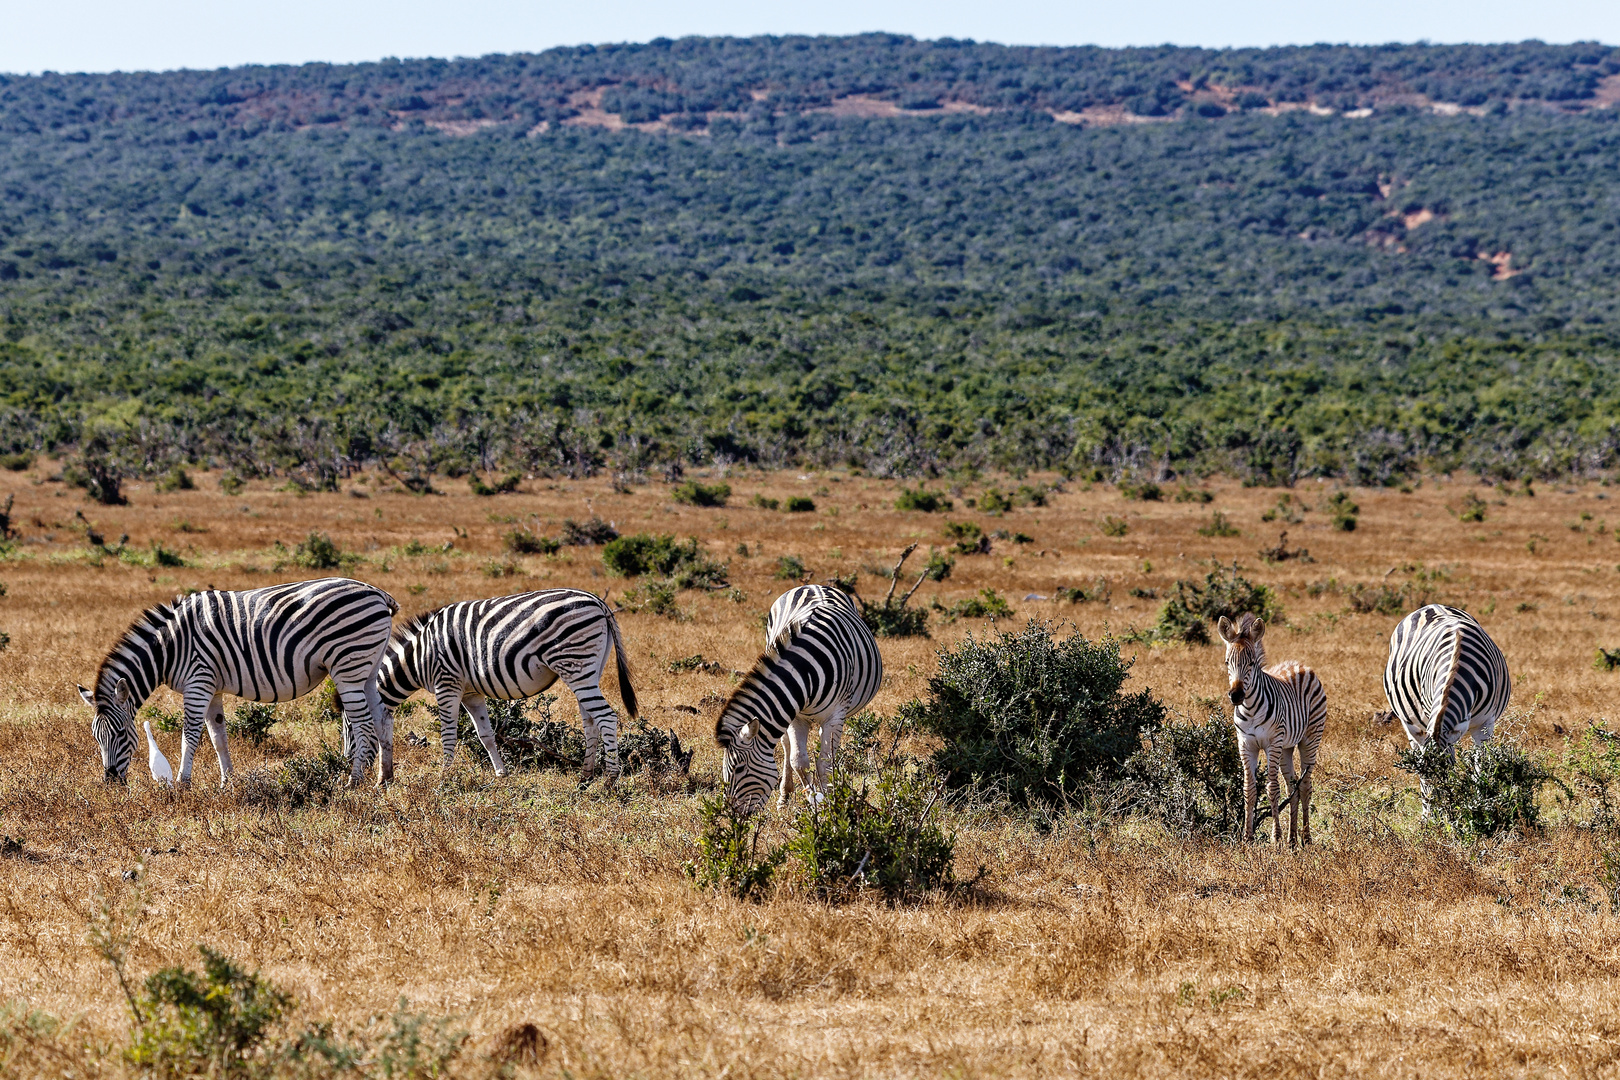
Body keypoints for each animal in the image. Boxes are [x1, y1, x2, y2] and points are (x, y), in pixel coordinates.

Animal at [77, 582, 400, 786]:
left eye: (121, 733)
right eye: (96, 737)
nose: (110, 781)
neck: (169, 647)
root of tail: (379, 593)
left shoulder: (198, 682)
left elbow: (189, 735)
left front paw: (183, 784)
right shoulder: (212, 687)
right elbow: (218, 737)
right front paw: (227, 783)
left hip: (347, 666)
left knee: (362, 723)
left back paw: (353, 781)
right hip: (367, 668)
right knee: (383, 717)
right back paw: (384, 780)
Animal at [375, 592, 635, 786]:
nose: (382, 782)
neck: (420, 658)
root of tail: (598, 601)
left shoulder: (447, 682)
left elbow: (448, 735)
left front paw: (444, 777)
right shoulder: (471, 693)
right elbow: (486, 735)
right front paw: (501, 773)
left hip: (574, 663)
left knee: (606, 717)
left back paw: (610, 780)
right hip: (589, 669)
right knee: (590, 721)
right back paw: (585, 777)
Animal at [716, 586, 881, 816]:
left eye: (739, 768)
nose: (732, 816)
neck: (805, 670)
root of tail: (815, 585)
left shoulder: (835, 716)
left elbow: (825, 765)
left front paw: (831, 807)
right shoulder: (795, 715)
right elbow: (798, 761)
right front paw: (815, 803)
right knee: (786, 746)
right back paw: (784, 797)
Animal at [1218, 612, 1321, 848]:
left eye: (1252, 663)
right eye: (1227, 662)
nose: (1236, 696)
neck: (1250, 708)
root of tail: (1298, 664)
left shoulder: (1272, 744)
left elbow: (1272, 789)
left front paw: (1276, 838)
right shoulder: (1246, 744)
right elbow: (1249, 789)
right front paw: (1247, 838)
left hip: (1309, 740)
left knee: (1304, 786)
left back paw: (1306, 838)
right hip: (1286, 747)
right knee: (1292, 787)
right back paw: (1292, 840)